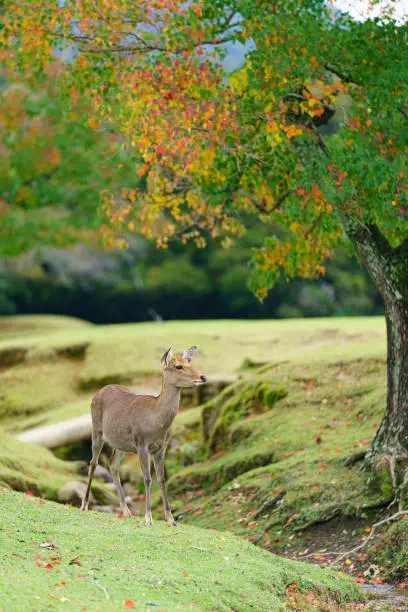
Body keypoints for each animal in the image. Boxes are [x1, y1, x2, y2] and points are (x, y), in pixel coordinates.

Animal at [80, 344, 207, 524]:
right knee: (93, 462)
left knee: (112, 464)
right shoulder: (142, 444)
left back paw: (126, 511)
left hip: (122, 444)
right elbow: (147, 478)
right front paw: (148, 518)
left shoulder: (161, 448)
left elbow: (161, 478)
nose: (202, 377)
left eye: (189, 362)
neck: (157, 423)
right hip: (96, 429)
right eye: (178, 366)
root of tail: (98, 392)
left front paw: (171, 519)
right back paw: (84, 505)